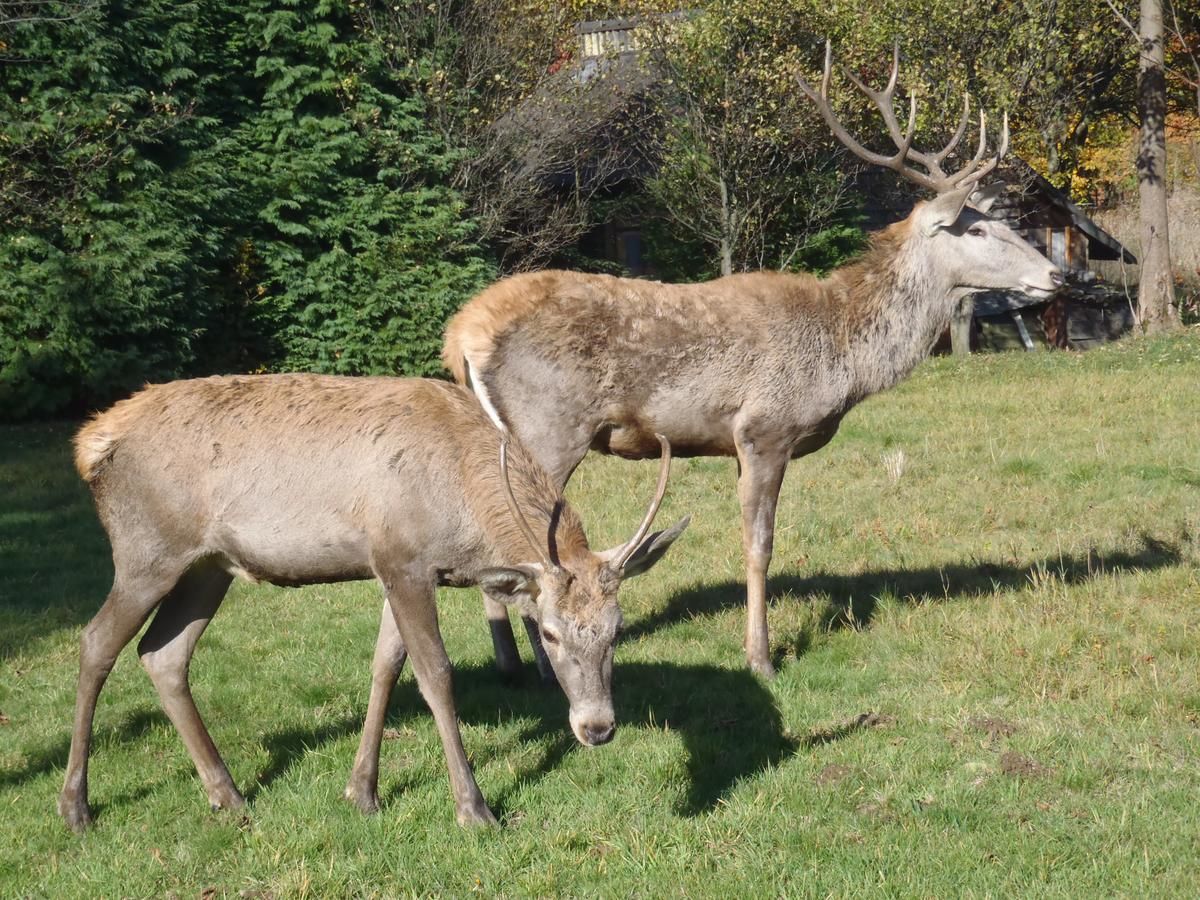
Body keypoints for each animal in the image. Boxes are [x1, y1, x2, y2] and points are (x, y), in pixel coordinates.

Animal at [60, 374, 691, 830]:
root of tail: (89, 444)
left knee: (162, 654)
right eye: (550, 630)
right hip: (147, 553)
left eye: (617, 628)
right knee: (95, 642)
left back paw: (228, 794)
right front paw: (474, 809)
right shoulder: (403, 559)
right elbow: (435, 673)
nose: (598, 727)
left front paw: (362, 790)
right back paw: (76, 806)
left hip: (207, 568)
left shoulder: (394, 567)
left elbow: (386, 664)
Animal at [441, 42, 1060, 676]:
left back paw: (512, 665)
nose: (1056, 274)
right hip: (548, 427)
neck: (841, 353)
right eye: (977, 229)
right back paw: (540, 664)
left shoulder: (736, 441)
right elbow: (759, 544)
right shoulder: (766, 427)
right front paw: (760, 656)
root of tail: (461, 334)